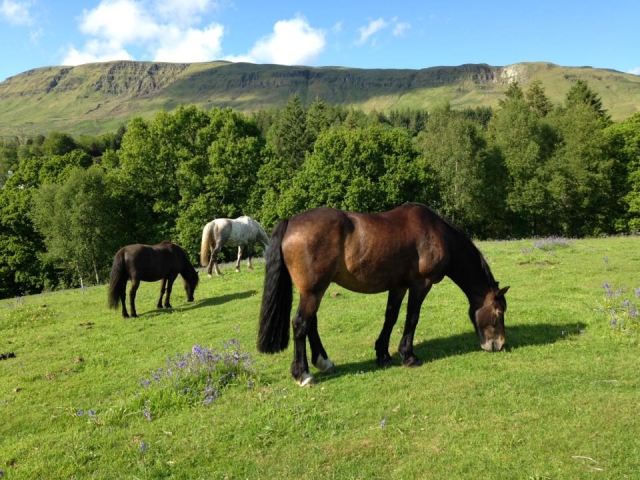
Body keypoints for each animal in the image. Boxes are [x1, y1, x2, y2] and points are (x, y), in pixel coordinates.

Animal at [257, 202, 509, 386]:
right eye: (498, 313)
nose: (498, 345)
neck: (436, 233)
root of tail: (291, 222)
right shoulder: (421, 284)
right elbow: (412, 318)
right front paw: (408, 356)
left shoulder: (398, 286)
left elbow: (391, 317)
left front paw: (383, 354)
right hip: (313, 290)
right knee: (301, 324)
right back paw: (303, 374)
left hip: (314, 290)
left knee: (311, 323)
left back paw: (324, 362)